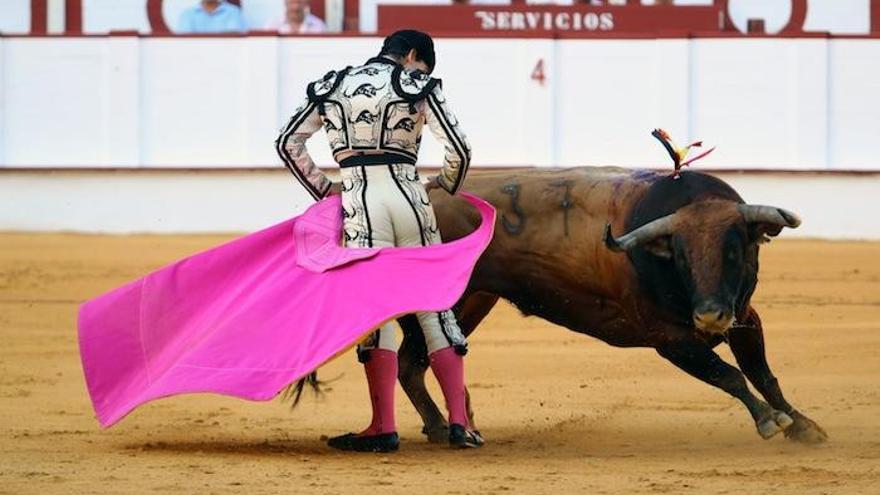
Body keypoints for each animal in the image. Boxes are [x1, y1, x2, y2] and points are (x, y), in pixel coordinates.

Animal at [396, 167, 828, 446]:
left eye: (735, 251)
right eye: (681, 257)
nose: (709, 316)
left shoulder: (744, 317)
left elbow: (762, 374)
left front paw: (803, 425)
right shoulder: (670, 340)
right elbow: (730, 375)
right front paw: (769, 420)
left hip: (474, 303)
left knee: (417, 362)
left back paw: (450, 425)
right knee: (410, 364)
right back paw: (443, 427)